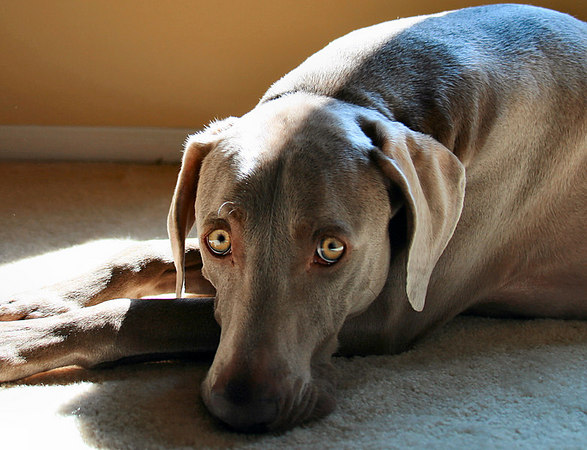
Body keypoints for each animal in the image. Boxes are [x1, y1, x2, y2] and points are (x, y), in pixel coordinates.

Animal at [1, 3, 587, 432]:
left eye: (332, 249)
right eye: (218, 240)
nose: (244, 407)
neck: (358, 92)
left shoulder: (384, 315)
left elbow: (145, 316)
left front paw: (19, 343)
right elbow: (145, 255)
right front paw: (35, 302)